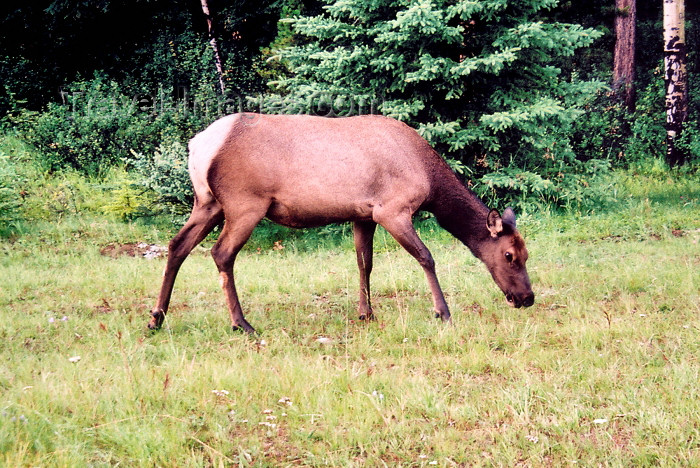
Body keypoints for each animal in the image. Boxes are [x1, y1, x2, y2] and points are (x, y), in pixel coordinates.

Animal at [146, 113, 532, 332]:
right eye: (510, 255)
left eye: (527, 254)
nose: (526, 298)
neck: (430, 180)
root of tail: (198, 146)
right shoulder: (392, 209)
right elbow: (426, 257)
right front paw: (443, 312)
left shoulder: (363, 214)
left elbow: (365, 263)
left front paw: (366, 313)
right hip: (245, 203)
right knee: (221, 253)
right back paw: (241, 323)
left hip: (207, 202)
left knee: (176, 245)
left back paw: (156, 317)